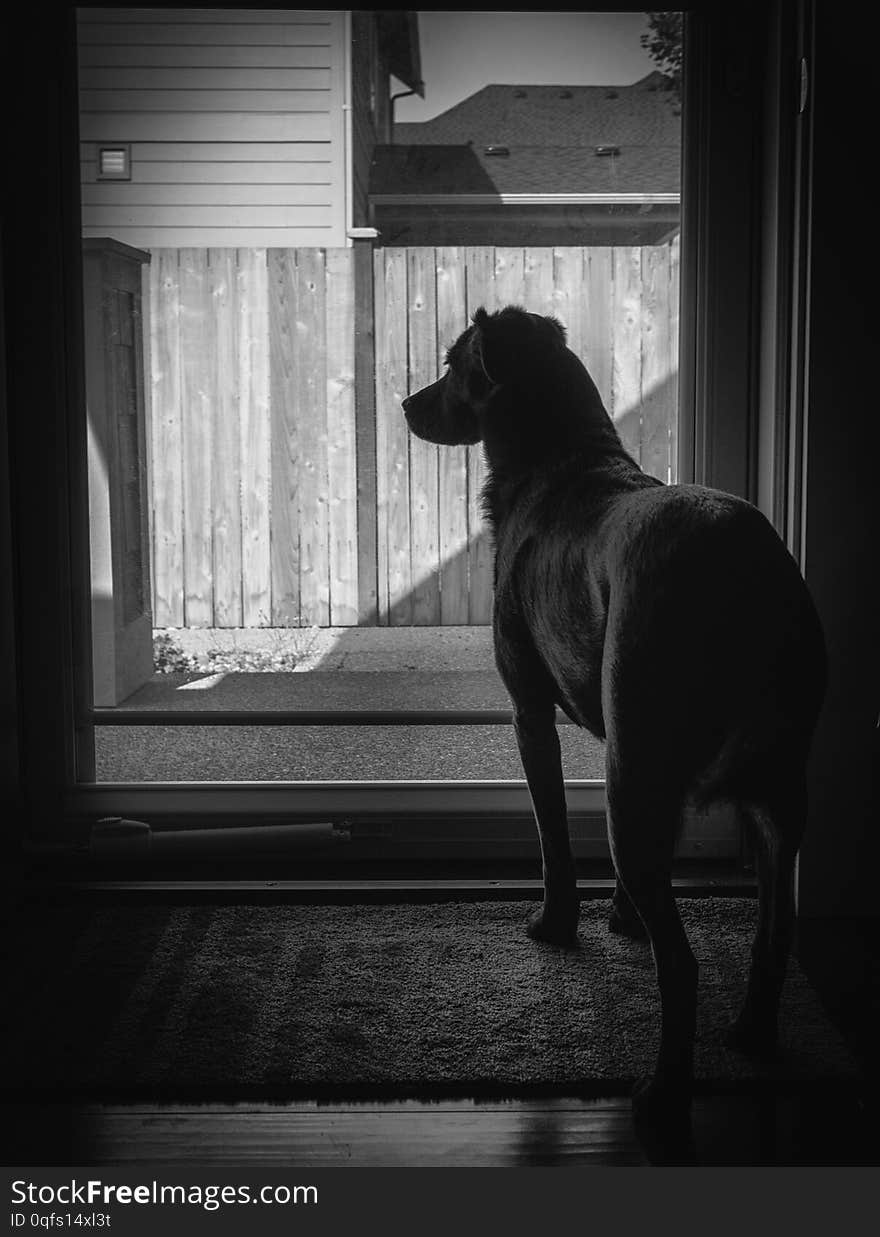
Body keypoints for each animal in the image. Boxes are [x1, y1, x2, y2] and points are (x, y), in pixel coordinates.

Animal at [403, 306, 831, 1133]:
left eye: (451, 364)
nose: (407, 404)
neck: (563, 458)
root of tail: (748, 572)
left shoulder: (530, 712)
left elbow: (554, 836)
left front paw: (558, 925)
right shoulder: (621, 754)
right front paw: (623, 919)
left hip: (654, 771)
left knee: (685, 964)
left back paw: (664, 1092)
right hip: (771, 788)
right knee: (774, 926)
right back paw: (753, 1035)